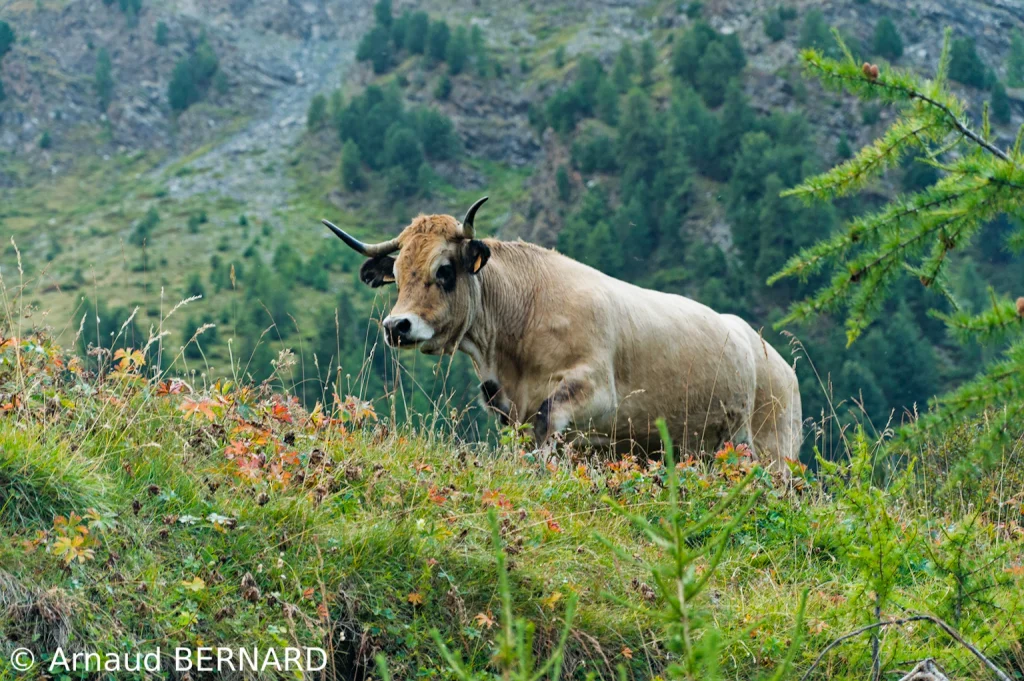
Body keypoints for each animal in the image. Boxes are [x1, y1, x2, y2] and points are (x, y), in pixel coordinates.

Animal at [322, 197, 802, 470]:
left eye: (444, 270)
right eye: (398, 275)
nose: (396, 326)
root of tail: (770, 353)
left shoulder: (596, 390)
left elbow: (547, 419)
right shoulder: (507, 408)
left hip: (773, 449)